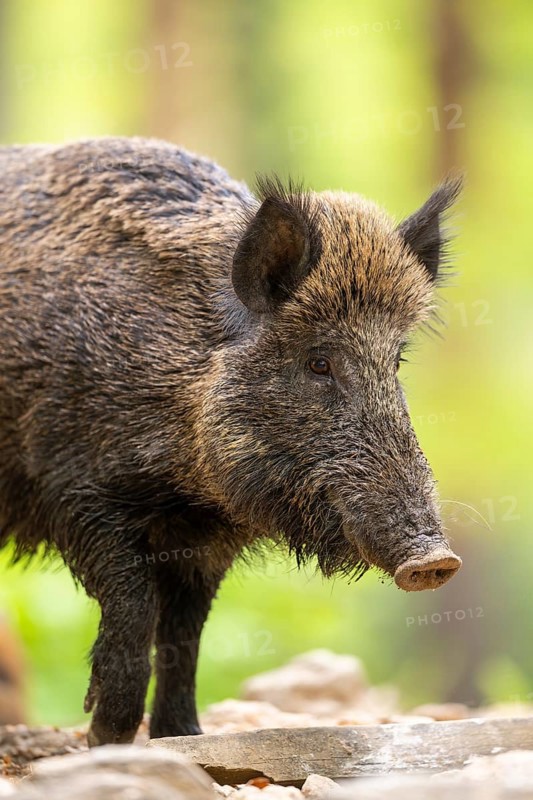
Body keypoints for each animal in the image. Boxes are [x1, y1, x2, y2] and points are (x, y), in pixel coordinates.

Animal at [0, 138, 462, 745]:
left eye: (397, 362)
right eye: (319, 362)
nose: (436, 560)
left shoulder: (209, 538)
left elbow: (185, 633)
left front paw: (180, 736)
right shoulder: (74, 491)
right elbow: (136, 606)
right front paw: (107, 737)